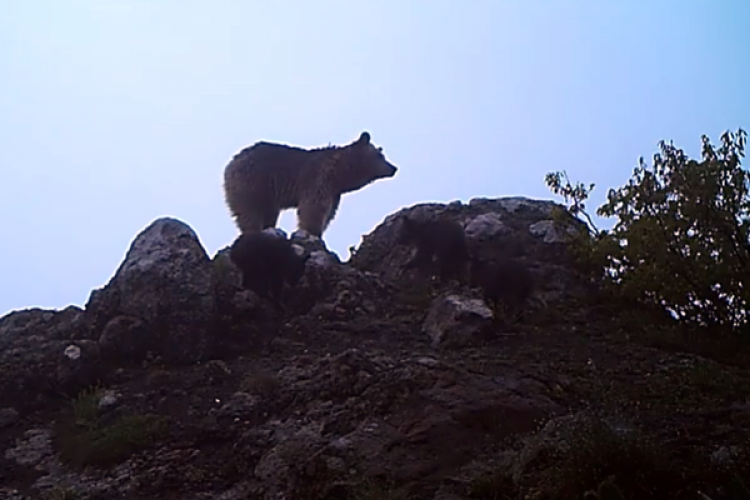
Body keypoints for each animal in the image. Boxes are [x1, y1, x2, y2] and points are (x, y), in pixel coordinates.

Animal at [222, 131, 400, 240]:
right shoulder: (320, 178)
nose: (393, 168)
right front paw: (311, 232)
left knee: (268, 212)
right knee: (249, 210)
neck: (341, 173)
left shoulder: (334, 193)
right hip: (251, 181)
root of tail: (231, 162)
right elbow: (314, 206)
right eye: (380, 155)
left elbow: (329, 213)